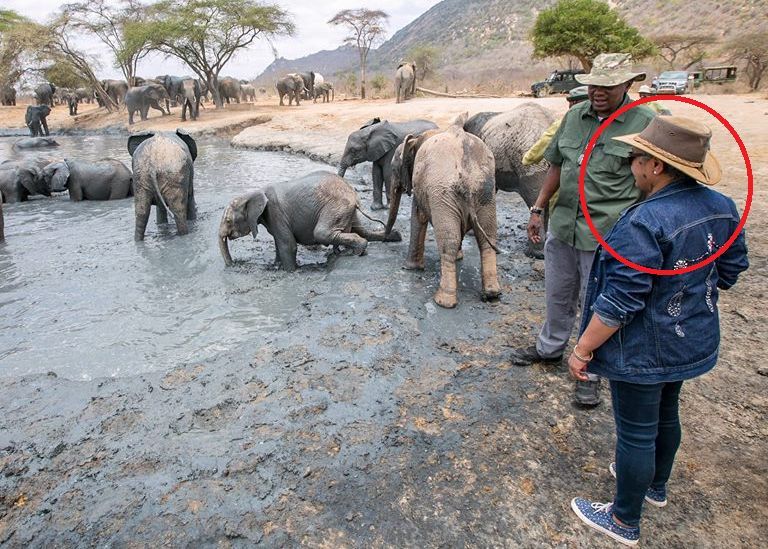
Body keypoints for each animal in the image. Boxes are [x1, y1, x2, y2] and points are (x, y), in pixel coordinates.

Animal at [218, 170, 402, 270]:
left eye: (228, 221)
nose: (233, 265)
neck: (252, 193)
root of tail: (353, 194)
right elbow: (279, 244)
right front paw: (275, 267)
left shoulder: (276, 212)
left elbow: (288, 245)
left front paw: (290, 272)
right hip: (346, 210)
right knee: (360, 230)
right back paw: (395, 236)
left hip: (335, 207)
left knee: (322, 233)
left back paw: (357, 252)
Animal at [384, 113, 504, 308]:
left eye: (395, 168)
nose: (390, 237)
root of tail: (468, 176)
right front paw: (459, 258)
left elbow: (418, 217)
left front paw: (409, 268)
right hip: (486, 190)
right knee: (487, 237)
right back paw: (492, 294)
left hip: (445, 193)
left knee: (449, 241)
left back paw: (443, 301)